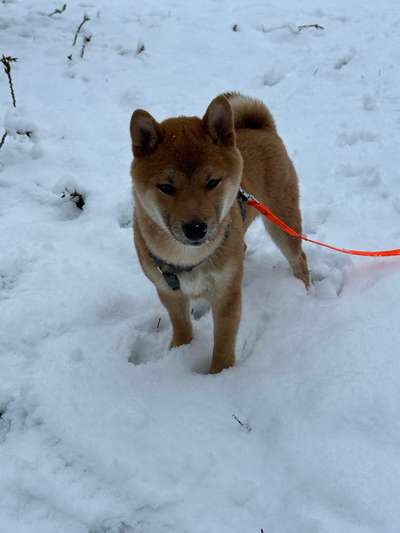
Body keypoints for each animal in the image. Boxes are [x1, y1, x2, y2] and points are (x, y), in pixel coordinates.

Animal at [130, 91, 310, 372]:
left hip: (282, 222)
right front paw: (180, 352)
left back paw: (304, 290)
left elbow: (224, 344)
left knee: (299, 258)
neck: (187, 258)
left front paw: (220, 375)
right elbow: (182, 327)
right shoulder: (168, 292)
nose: (195, 228)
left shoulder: (226, 296)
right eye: (166, 187)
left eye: (212, 182)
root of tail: (262, 129)